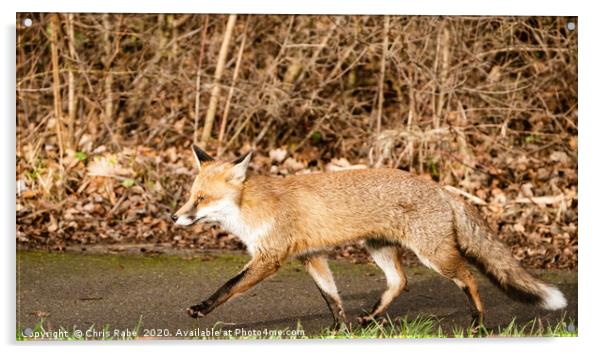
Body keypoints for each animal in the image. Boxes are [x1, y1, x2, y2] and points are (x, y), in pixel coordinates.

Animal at [171, 145, 564, 328]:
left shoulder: (270, 258)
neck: (252, 208)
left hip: (434, 255)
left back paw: (478, 323)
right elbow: (331, 296)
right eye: (191, 195)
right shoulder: (311, 256)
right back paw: (371, 317)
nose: (175, 217)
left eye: (201, 199)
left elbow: (228, 287)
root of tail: (441, 188)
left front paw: (201, 309)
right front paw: (338, 328)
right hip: (378, 248)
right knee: (400, 282)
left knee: (468, 276)